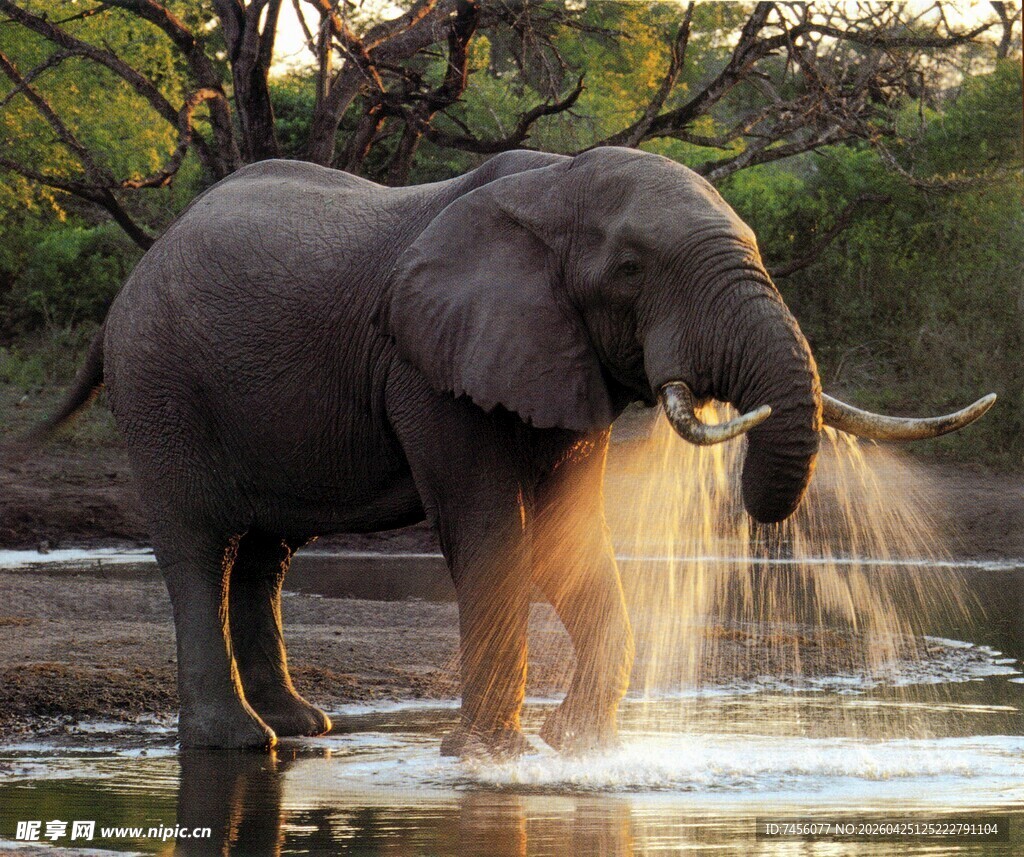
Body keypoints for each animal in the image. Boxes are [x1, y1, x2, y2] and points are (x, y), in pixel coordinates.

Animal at [31, 146, 994, 755]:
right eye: (633, 268)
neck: (554, 186)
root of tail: (137, 272)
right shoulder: (427, 364)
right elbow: (490, 527)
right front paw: (488, 756)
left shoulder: (559, 355)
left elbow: (569, 533)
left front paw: (578, 748)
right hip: (160, 385)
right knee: (201, 546)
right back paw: (240, 743)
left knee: (266, 555)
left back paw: (306, 728)